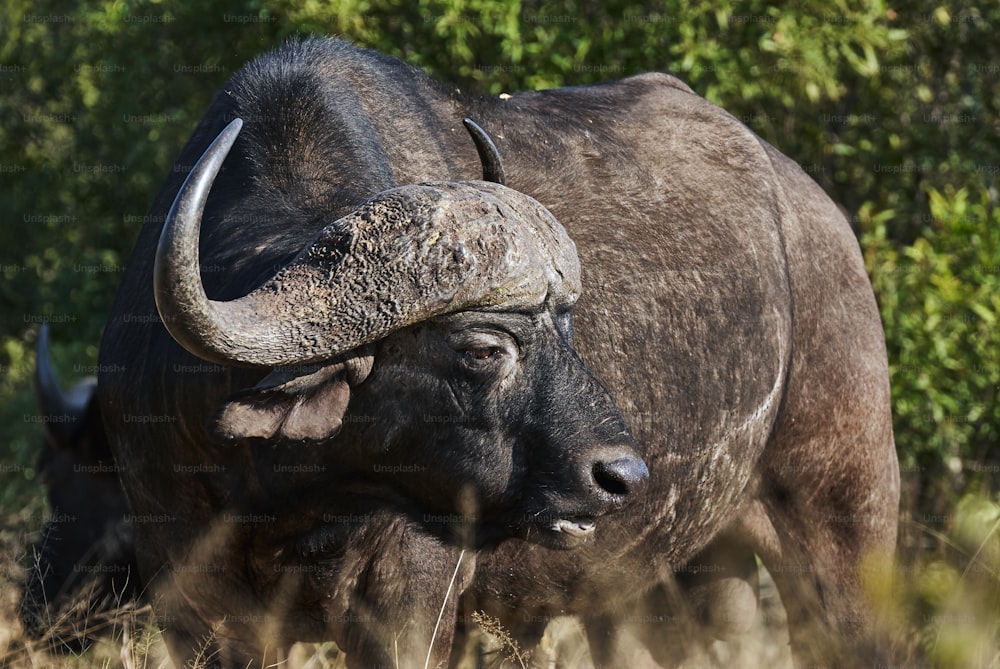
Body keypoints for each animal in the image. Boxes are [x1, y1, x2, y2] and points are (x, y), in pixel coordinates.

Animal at [99, 37, 900, 668]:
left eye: (564, 328)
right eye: (484, 348)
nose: (622, 475)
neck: (283, 504)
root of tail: (823, 220)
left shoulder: (408, 612)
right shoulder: (192, 612)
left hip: (846, 520)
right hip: (685, 582)